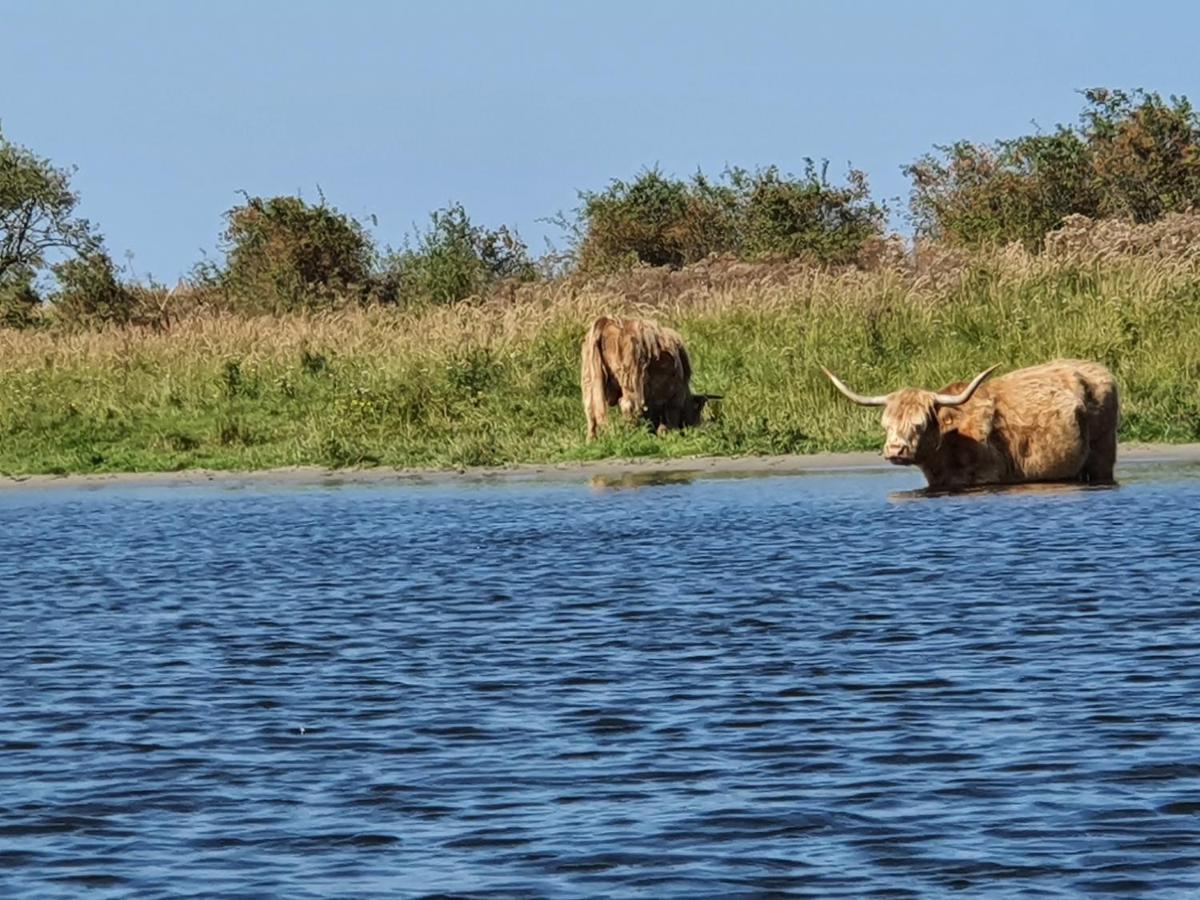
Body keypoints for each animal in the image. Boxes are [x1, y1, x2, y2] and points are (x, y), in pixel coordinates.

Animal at [580, 316, 720, 444]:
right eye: (697, 413)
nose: (696, 428)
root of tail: (606, 322)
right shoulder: (675, 396)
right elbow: (671, 415)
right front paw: (671, 434)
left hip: (589, 378)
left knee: (590, 410)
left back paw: (591, 440)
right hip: (632, 378)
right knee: (628, 405)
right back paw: (631, 435)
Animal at [820, 357, 1118, 489]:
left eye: (919, 424)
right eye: (886, 424)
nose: (896, 450)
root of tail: (1100, 370)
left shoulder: (988, 476)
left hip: (1103, 453)